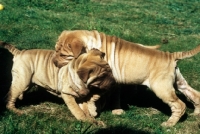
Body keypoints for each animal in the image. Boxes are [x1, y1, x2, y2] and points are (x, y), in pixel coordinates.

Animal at [52, 30, 200, 126]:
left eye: (63, 55)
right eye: (55, 50)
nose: (53, 61)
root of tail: (171, 55)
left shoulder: (105, 81)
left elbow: (93, 96)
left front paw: (92, 109)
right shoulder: (114, 82)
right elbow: (113, 96)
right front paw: (116, 110)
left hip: (161, 88)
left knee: (179, 105)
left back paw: (170, 123)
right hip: (179, 83)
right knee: (195, 94)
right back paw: (197, 113)